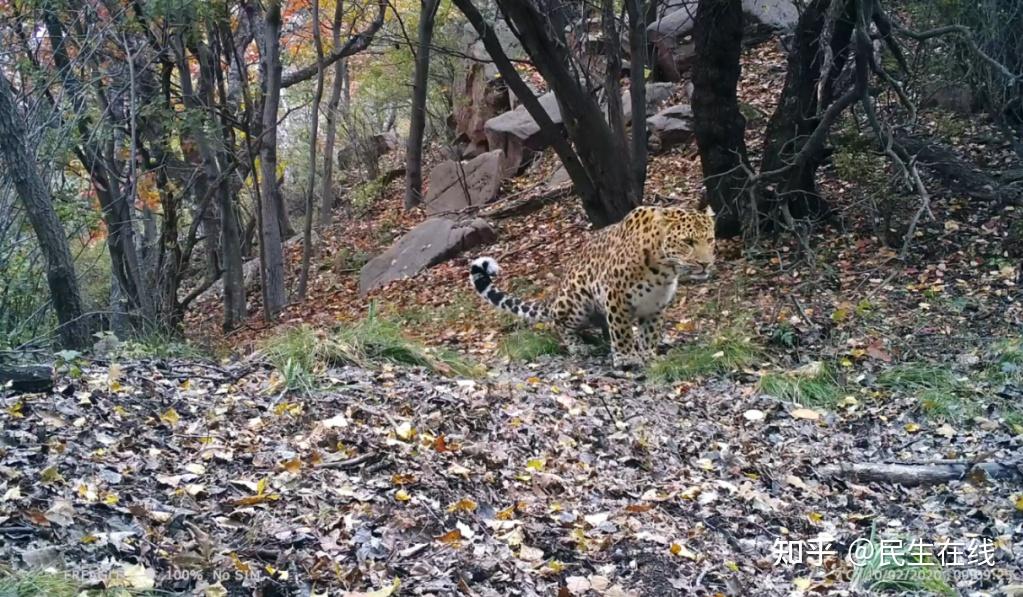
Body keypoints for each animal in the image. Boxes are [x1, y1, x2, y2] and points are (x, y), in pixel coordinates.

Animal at [468, 205, 716, 365]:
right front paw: (627, 358)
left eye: (710, 240)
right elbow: (622, 329)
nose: (705, 264)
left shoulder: (655, 305)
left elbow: (649, 333)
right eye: (688, 242)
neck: (664, 270)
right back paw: (579, 345)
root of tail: (556, 294)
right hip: (577, 302)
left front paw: (647, 354)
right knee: (559, 324)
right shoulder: (616, 294)